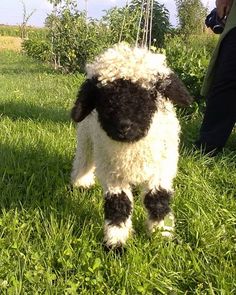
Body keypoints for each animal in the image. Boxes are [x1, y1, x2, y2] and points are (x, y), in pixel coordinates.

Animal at [70, 43, 192, 252]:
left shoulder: (160, 171)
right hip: (86, 138)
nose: (124, 126)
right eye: (104, 98)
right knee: (83, 159)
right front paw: (115, 243)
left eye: (151, 94)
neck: (132, 148)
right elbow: (118, 205)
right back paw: (81, 183)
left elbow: (157, 201)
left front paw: (162, 237)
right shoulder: (113, 175)